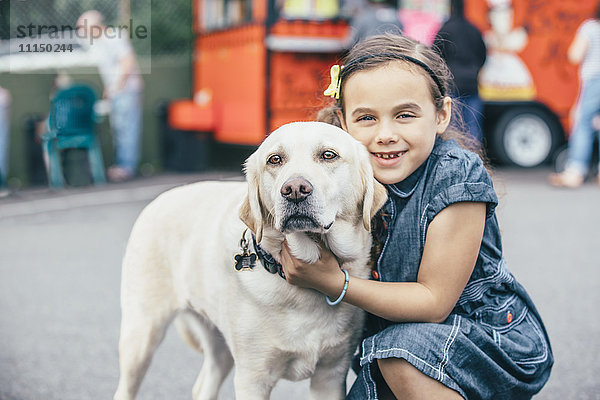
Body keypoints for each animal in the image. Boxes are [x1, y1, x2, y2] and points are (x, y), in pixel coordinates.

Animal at [115, 122, 386, 400]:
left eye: (328, 155)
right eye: (275, 159)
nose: (294, 190)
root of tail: (162, 197)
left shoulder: (331, 375)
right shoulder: (252, 378)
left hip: (219, 345)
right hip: (141, 336)